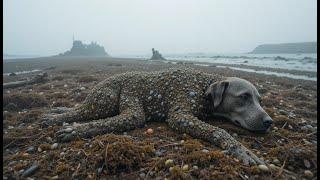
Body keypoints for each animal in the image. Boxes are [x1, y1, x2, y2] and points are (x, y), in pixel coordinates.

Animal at [42, 68, 272, 166]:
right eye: (244, 97)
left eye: (260, 100)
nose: (269, 121)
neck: (203, 88)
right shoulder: (180, 116)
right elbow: (219, 130)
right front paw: (240, 149)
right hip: (109, 100)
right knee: (93, 113)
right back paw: (71, 126)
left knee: (81, 109)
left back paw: (57, 112)